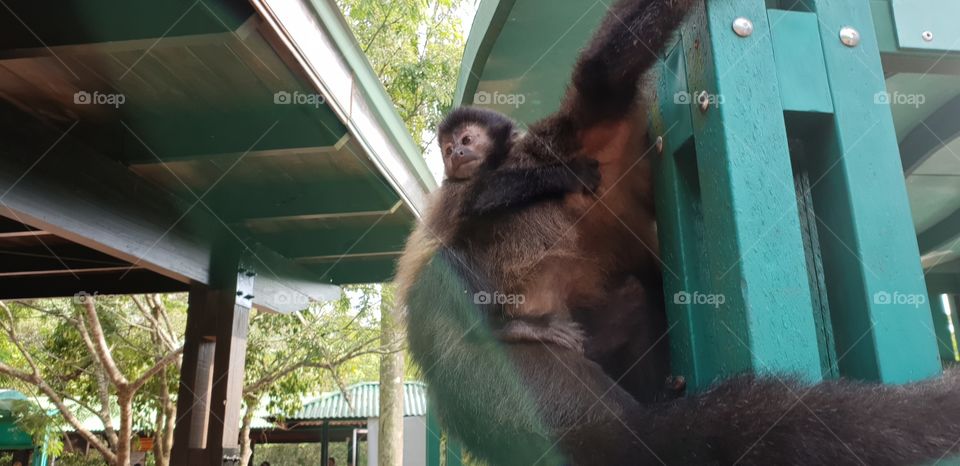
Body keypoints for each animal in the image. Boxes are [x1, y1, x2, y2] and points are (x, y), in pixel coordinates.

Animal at [397, 0, 960, 464]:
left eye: (465, 142)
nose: (458, 154)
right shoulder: (575, 141)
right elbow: (600, 73)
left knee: (635, 297)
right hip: (507, 380)